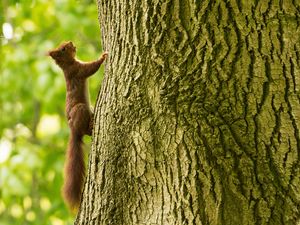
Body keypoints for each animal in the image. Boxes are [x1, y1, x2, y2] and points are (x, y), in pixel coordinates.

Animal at [47, 41, 107, 211]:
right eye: (63, 49)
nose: (71, 42)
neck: (67, 65)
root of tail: (73, 130)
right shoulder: (78, 70)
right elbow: (91, 68)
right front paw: (103, 57)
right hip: (80, 110)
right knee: (85, 131)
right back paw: (91, 126)